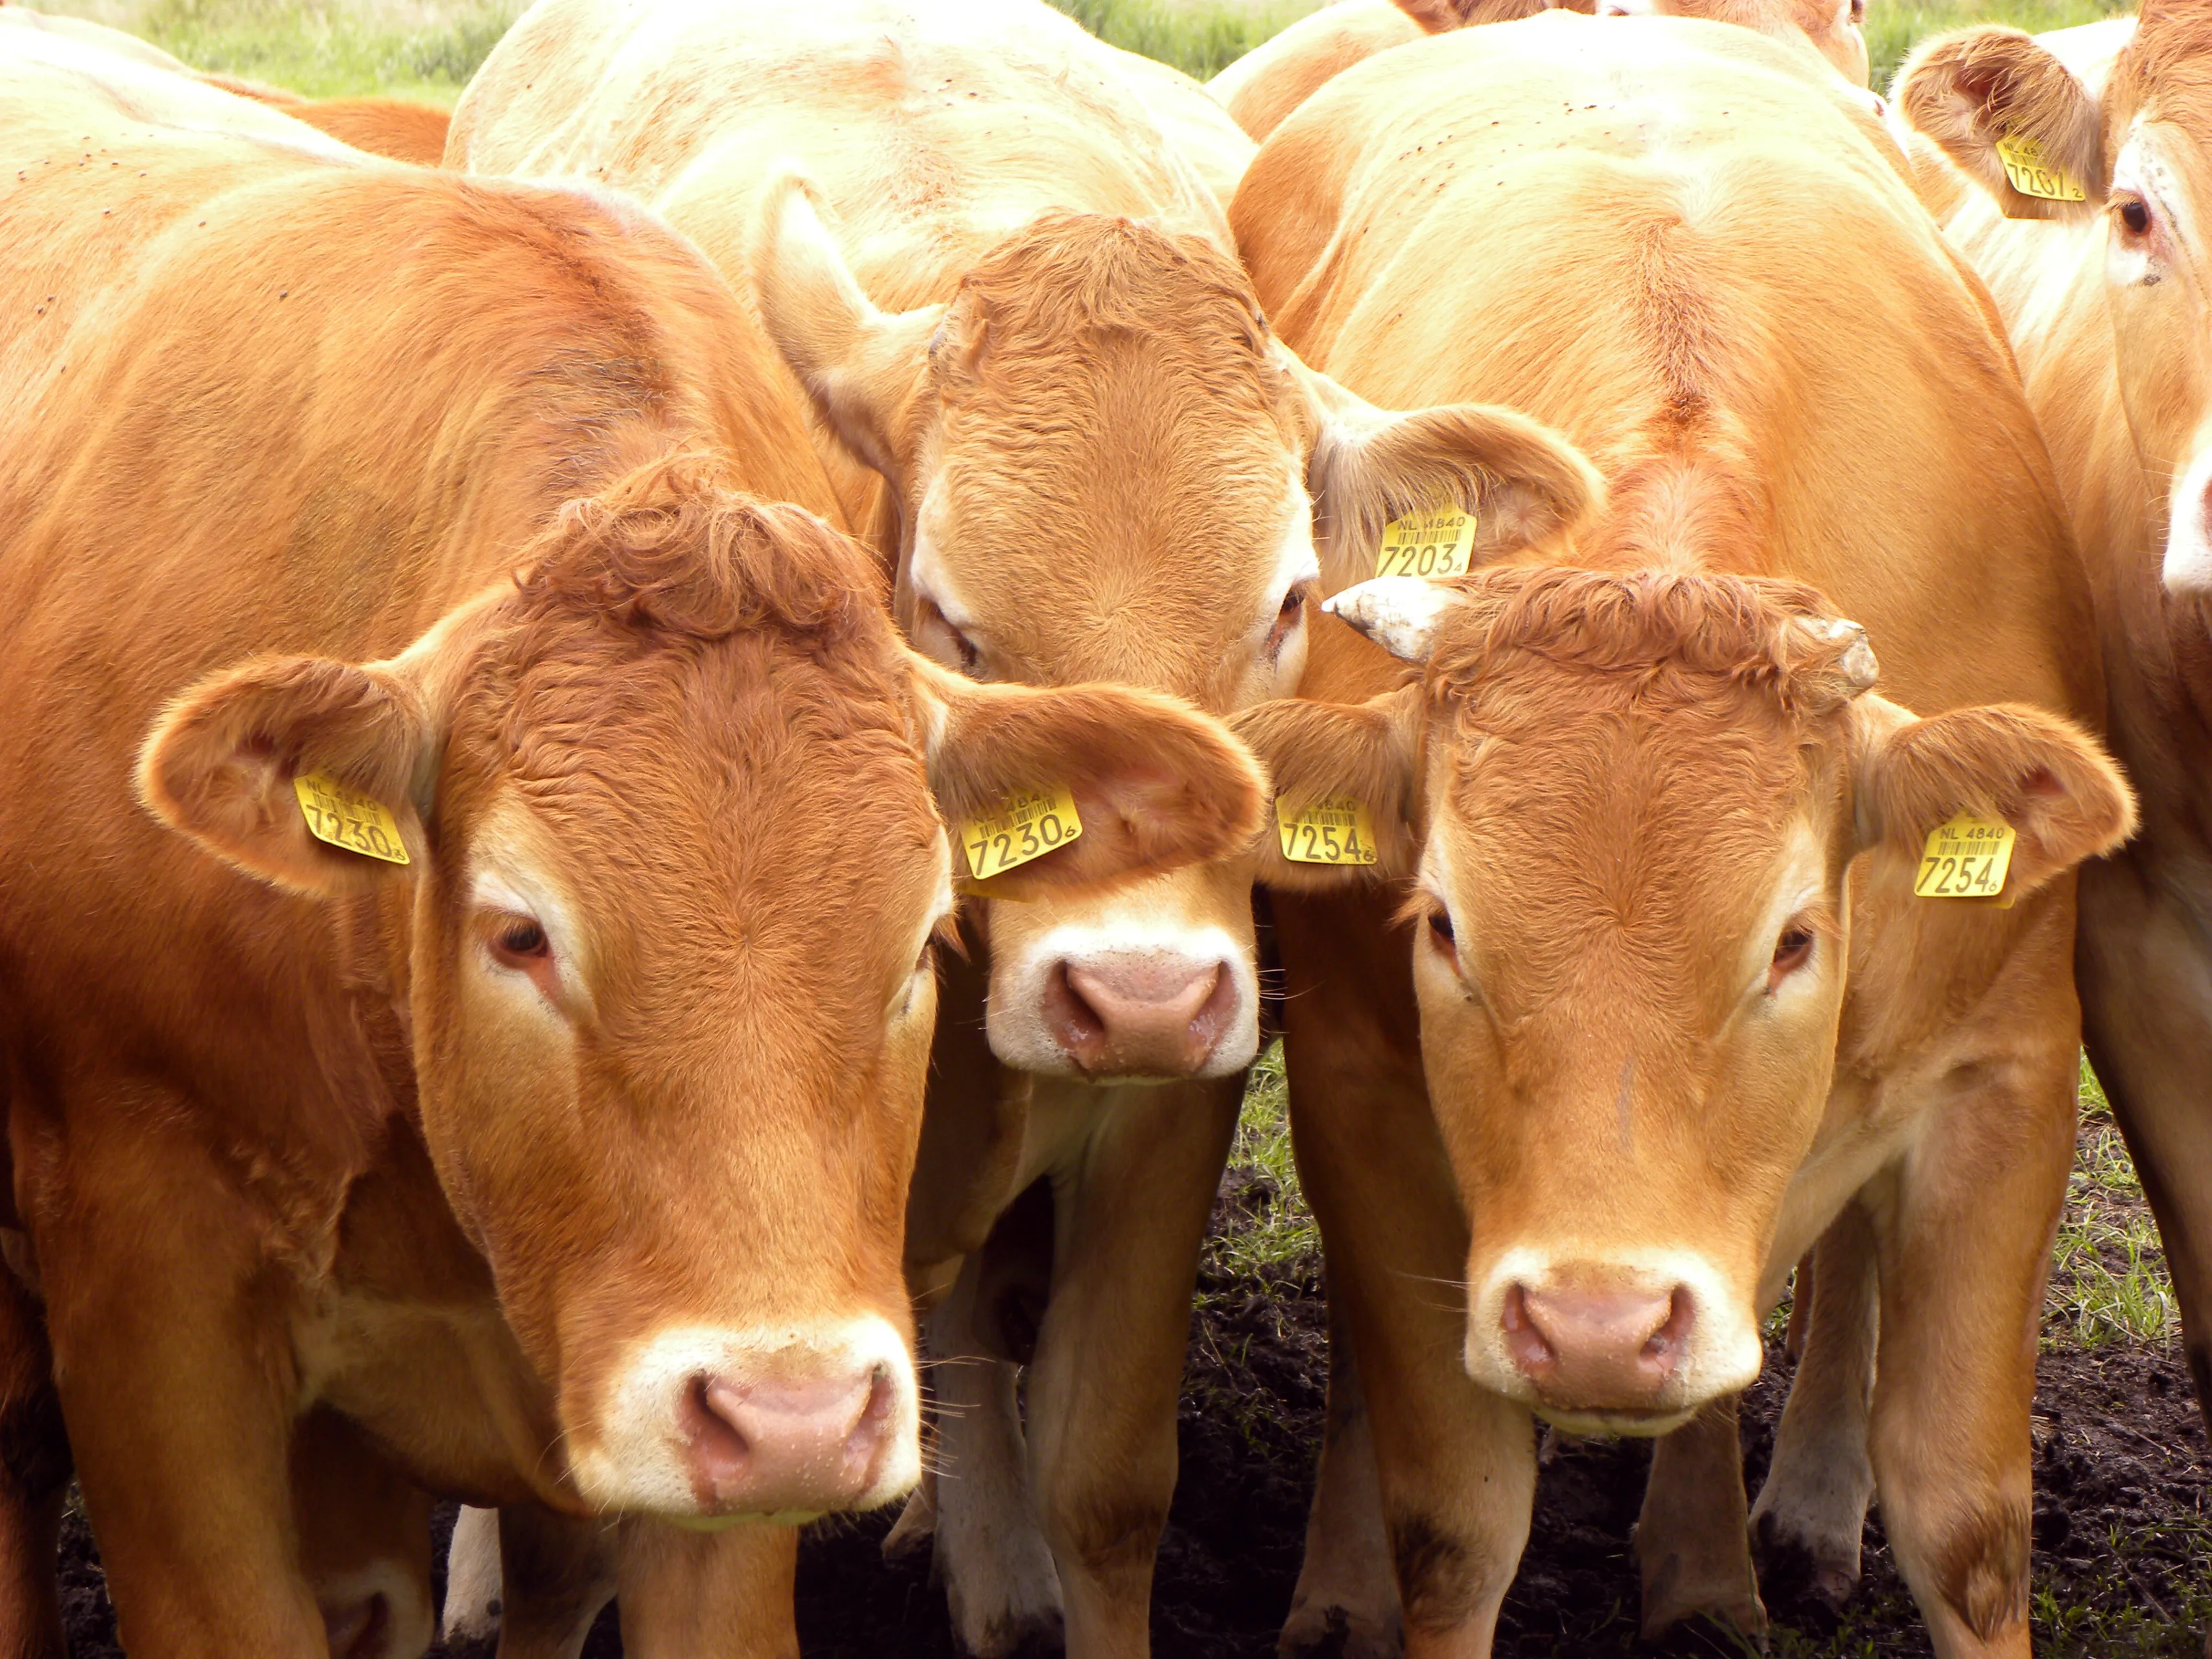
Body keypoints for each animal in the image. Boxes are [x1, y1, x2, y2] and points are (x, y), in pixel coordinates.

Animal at [1225, 15, 2133, 1656]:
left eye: (1790, 938)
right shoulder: (1358, 1081)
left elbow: (1965, 1519)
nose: (1597, 1322)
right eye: (1441, 923)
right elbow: (1453, 1517)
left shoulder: (2006, 1073)